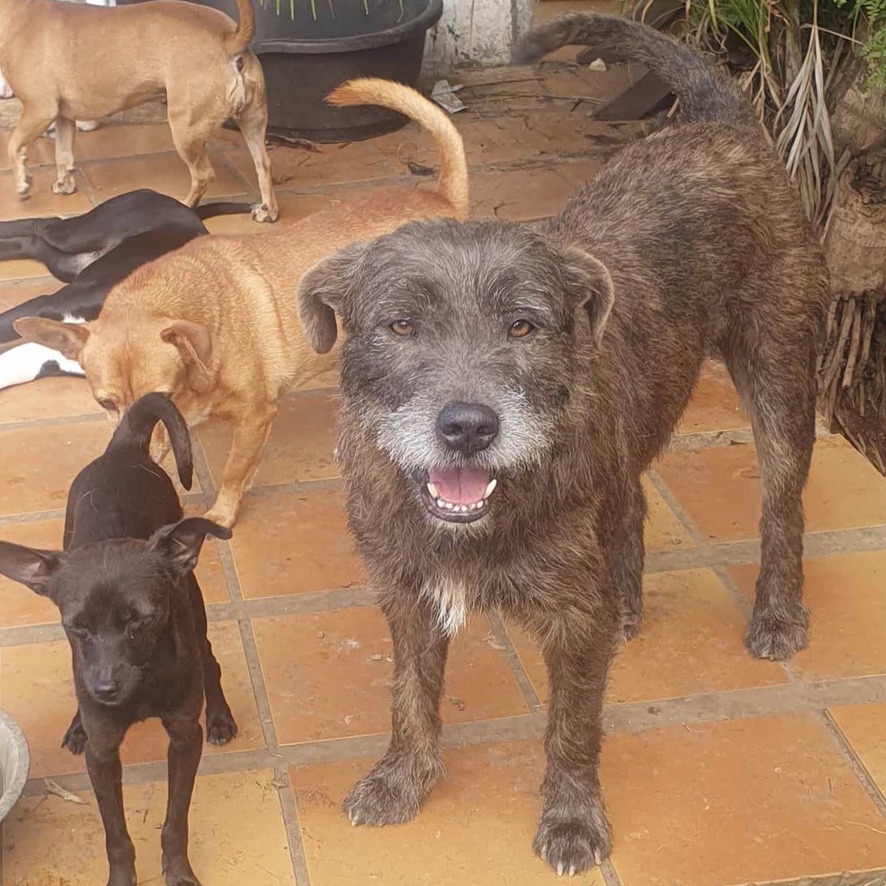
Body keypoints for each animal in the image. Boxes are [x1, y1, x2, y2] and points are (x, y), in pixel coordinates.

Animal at [0, 0, 278, 222]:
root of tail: (230, 38)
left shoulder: (39, 110)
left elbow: (13, 146)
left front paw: (23, 183)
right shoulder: (63, 116)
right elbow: (63, 154)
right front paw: (64, 183)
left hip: (184, 129)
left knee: (203, 175)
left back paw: (184, 206)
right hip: (252, 123)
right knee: (263, 164)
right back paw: (268, 210)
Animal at [0, 189, 250, 390]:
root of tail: (186, 208)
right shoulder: (46, 306)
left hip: (65, 263)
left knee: (33, 243)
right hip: (76, 235)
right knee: (42, 224)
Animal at [0, 396, 236, 886]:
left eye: (141, 621)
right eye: (78, 626)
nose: (105, 689)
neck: (142, 684)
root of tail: (123, 449)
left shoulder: (184, 739)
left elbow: (175, 821)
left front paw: (178, 872)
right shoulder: (103, 753)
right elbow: (116, 834)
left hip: (193, 603)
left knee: (210, 658)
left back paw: (221, 715)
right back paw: (77, 723)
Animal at [294, 13, 836, 880]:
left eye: (524, 325)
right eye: (400, 324)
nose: (468, 426)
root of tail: (718, 124)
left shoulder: (572, 626)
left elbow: (573, 727)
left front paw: (574, 818)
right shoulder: (407, 595)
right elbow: (410, 696)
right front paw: (403, 777)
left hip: (782, 373)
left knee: (781, 506)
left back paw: (778, 613)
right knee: (633, 498)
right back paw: (631, 600)